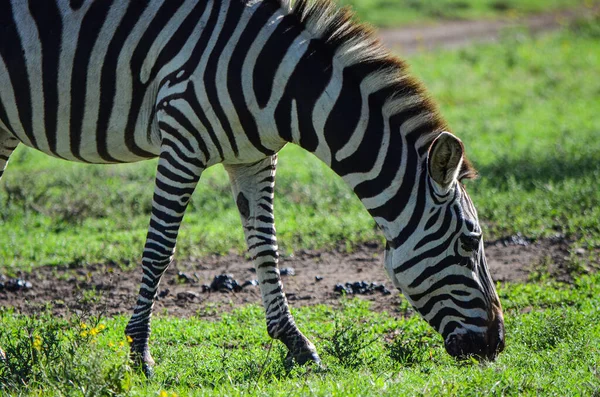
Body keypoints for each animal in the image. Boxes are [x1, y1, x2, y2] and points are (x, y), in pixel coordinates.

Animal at [1, 0, 506, 372]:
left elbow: (266, 248)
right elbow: (160, 249)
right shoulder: (182, 139)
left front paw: (297, 346)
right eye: (470, 241)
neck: (284, 86)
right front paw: (139, 353)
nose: (497, 344)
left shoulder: (253, 157)